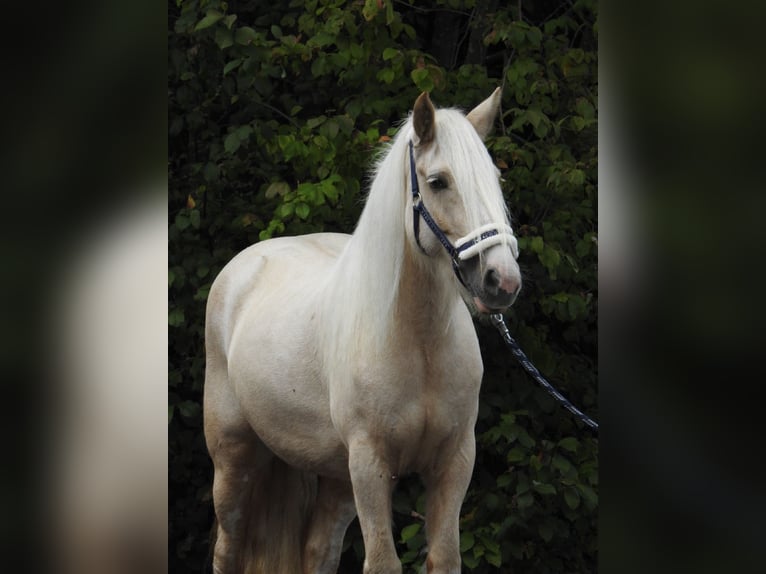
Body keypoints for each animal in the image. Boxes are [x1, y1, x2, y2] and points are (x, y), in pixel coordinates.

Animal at [206, 88, 520, 572]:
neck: (417, 343)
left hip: (336, 477)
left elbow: (444, 557)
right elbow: (383, 563)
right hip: (234, 459)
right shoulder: (371, 464)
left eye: (494, 179)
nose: (502, 281)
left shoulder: (454, 461)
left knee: (318, 552)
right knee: (227, 549)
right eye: (438, 182)